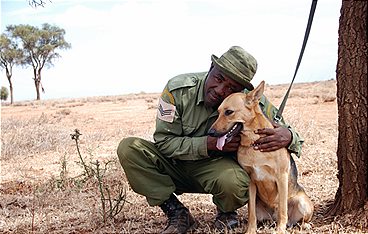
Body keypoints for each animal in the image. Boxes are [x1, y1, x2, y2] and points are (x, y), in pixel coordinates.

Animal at [208, 81, 312, 233]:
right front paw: (250, 230)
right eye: (219, 112)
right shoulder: (250, 181)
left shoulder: (281, 177)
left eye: (229, 112)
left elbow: (283, 209)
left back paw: (301, 225)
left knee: (295, 219)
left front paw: (280, 230)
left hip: (303, 203)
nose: (210, 132)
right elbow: (251, 213)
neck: (253, 142)